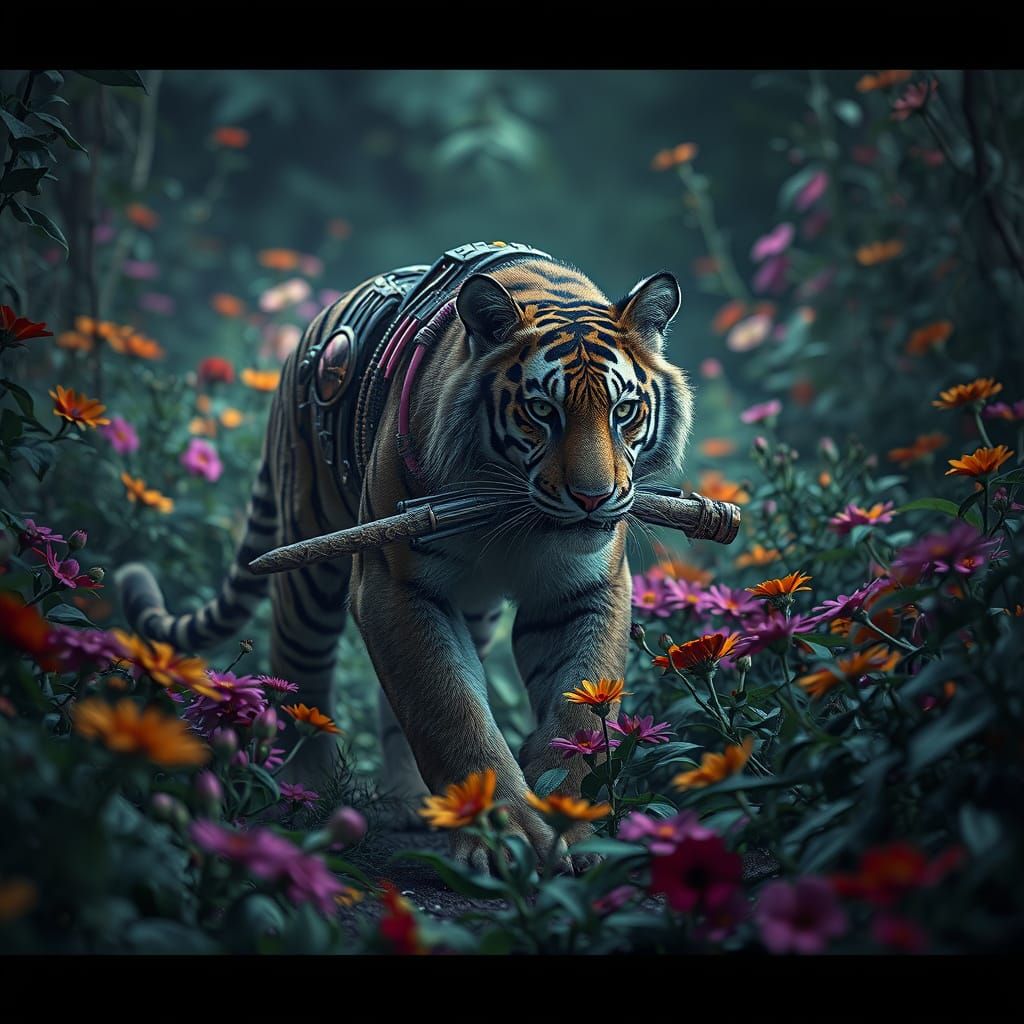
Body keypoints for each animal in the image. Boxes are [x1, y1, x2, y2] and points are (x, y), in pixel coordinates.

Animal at [117, 240, 693, 873]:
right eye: (543, 411)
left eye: (624, 411)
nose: (593, 498)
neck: (515, 519)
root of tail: (305, 335)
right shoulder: (394, 583)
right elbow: (448, 706)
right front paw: (501, 835)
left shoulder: (584, 590)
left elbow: (581, 714)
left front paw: (576, 826)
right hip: (311, 564)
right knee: (301, 674)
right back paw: (304, 795)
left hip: (472, 608)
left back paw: (409, 801)